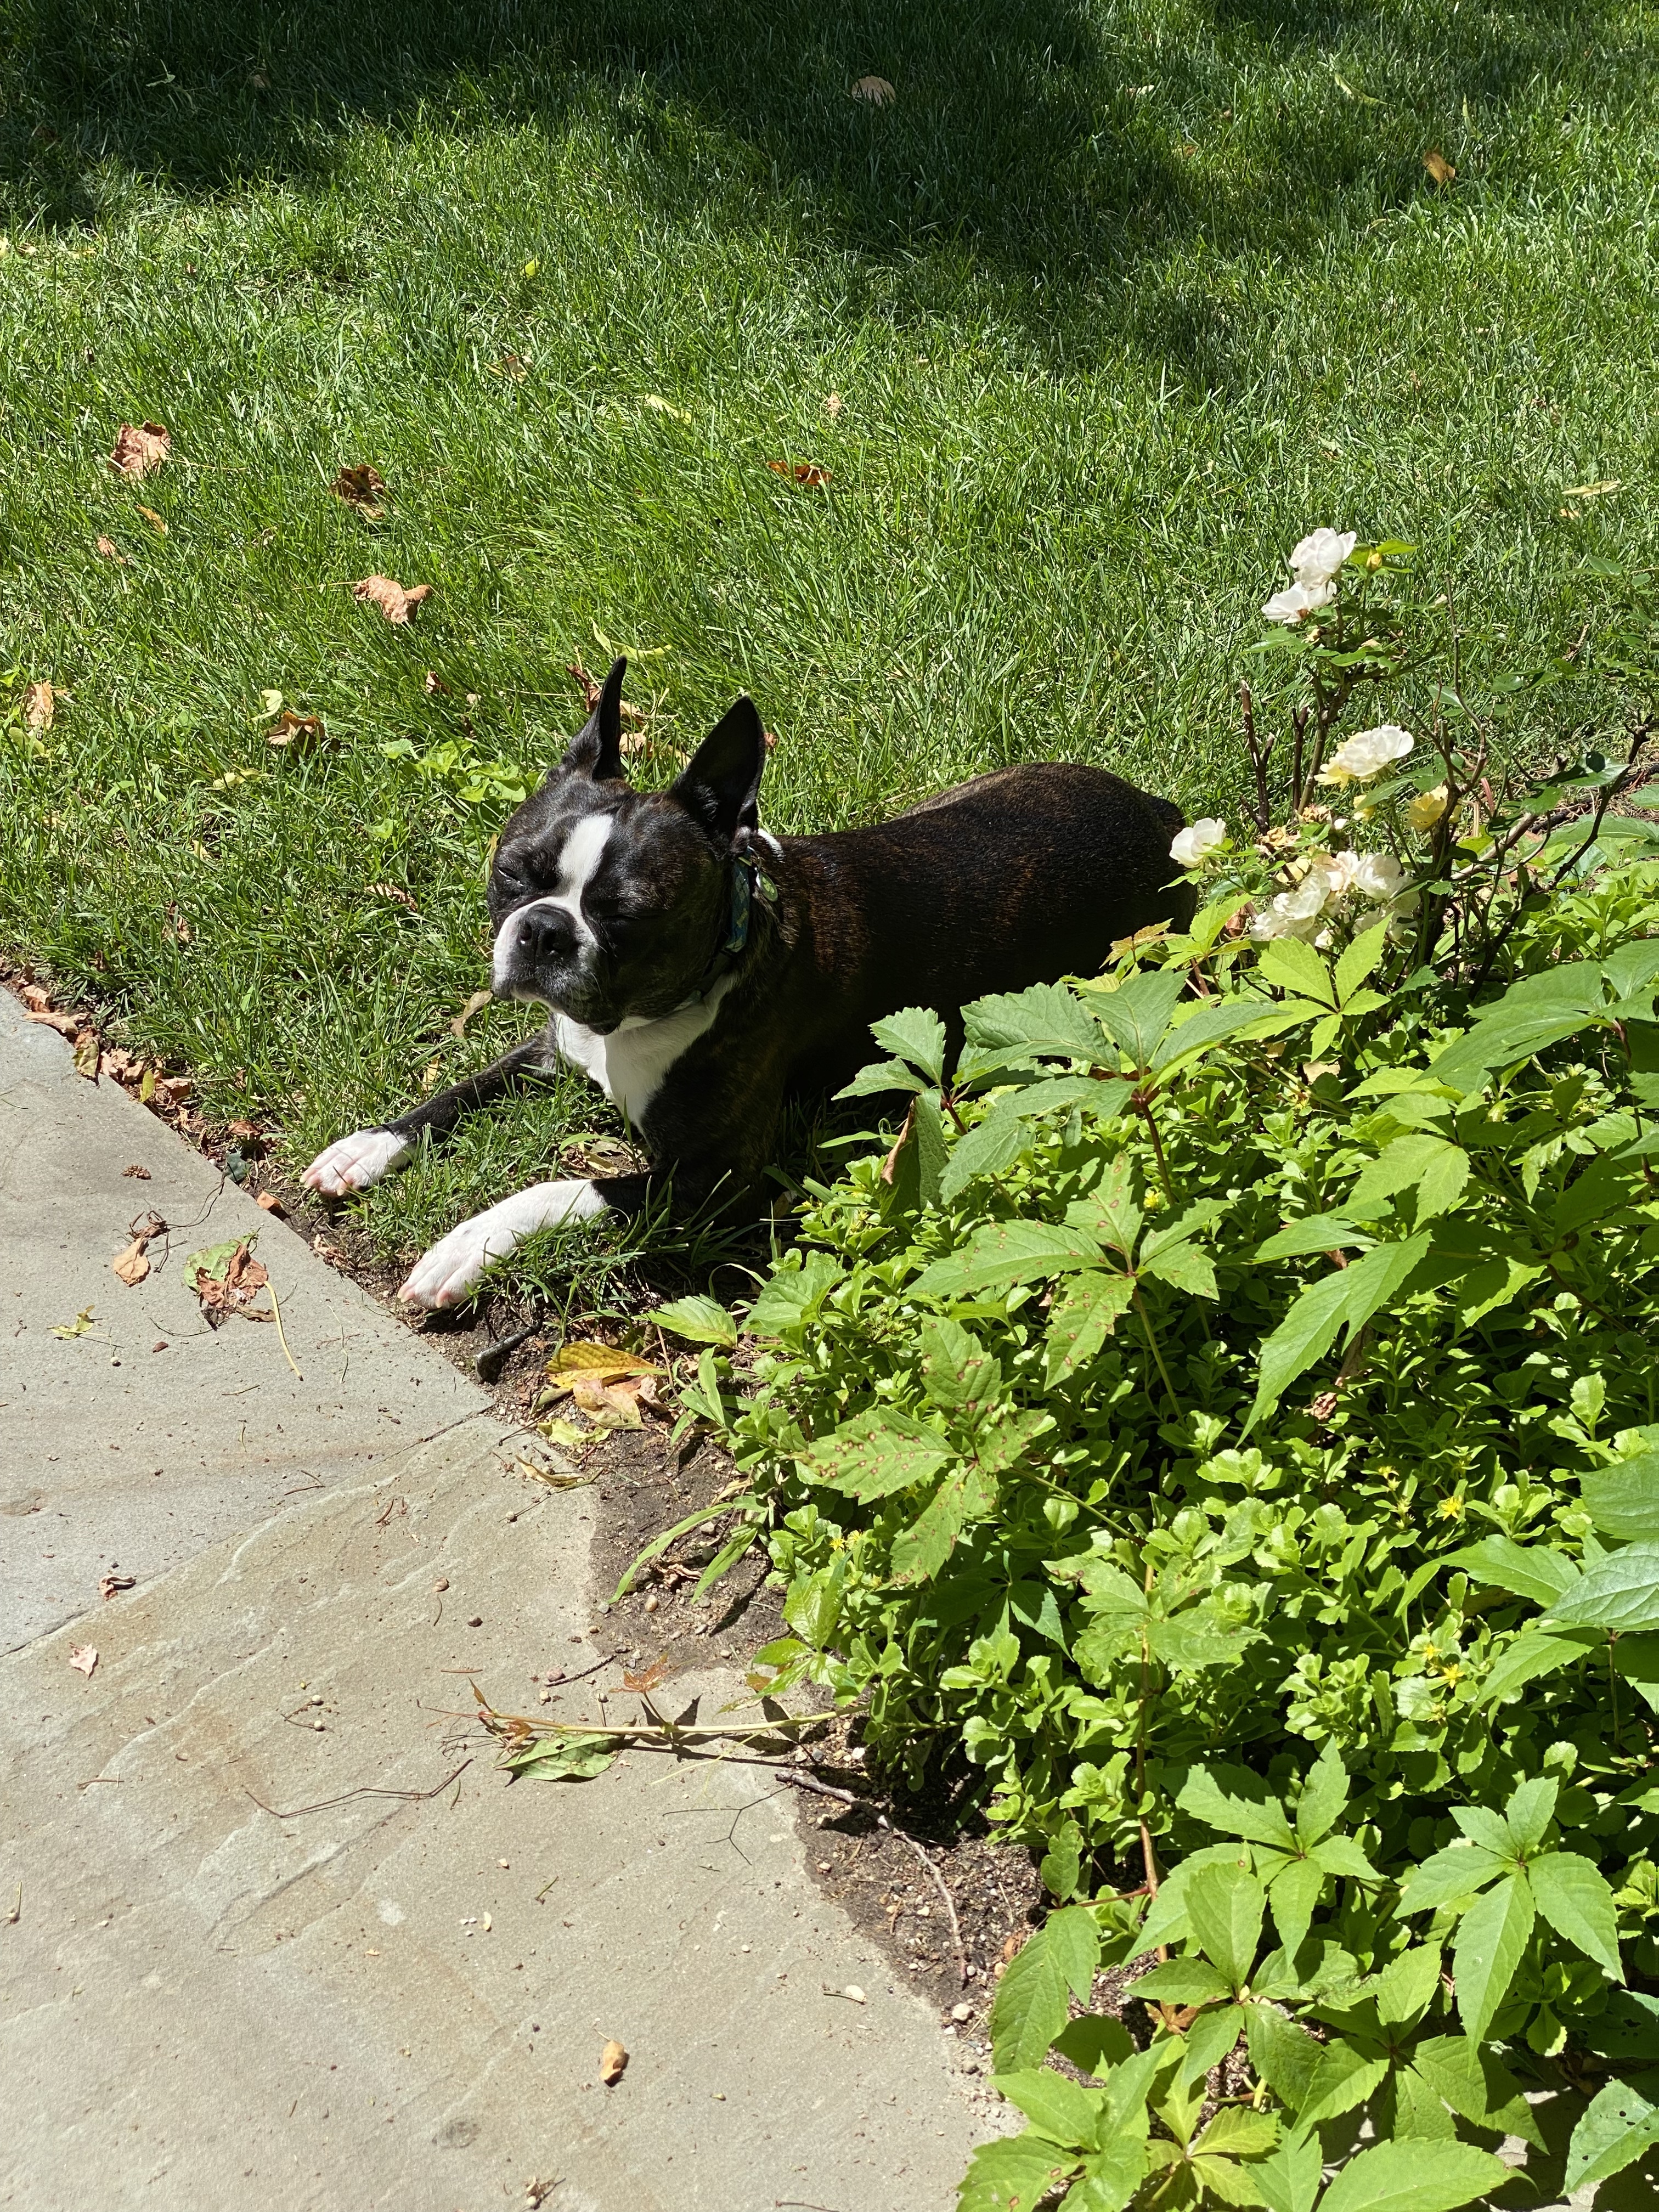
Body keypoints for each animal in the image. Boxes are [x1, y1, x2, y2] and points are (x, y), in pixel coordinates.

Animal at [305, 663, 1194, 1300]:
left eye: (626, 915)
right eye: (513, 873)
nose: (545, 930)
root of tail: (1160, 813)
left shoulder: (718, 1182)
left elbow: (571, 1184)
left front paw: (468, 1244)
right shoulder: (554, 1043)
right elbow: (460, 1091)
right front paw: (367, 1148)